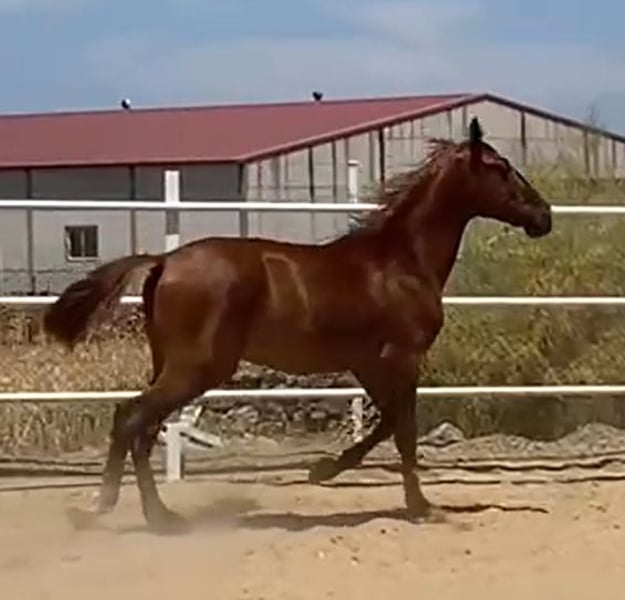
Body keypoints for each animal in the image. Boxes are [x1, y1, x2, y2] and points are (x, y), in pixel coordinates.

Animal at [43, 117, 552, 532]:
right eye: (501, 167)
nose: (543, 216)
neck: (402, 262)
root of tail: (164, 261)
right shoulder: (404, 357)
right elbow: (403, 429)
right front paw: (418, 506)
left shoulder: (369, 363)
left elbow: (389, 423)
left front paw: (325, 471)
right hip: (198, 367)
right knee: (134, 419)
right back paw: (149, 516)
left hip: (170, 363)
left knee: (136, 425)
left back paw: (118, 510)